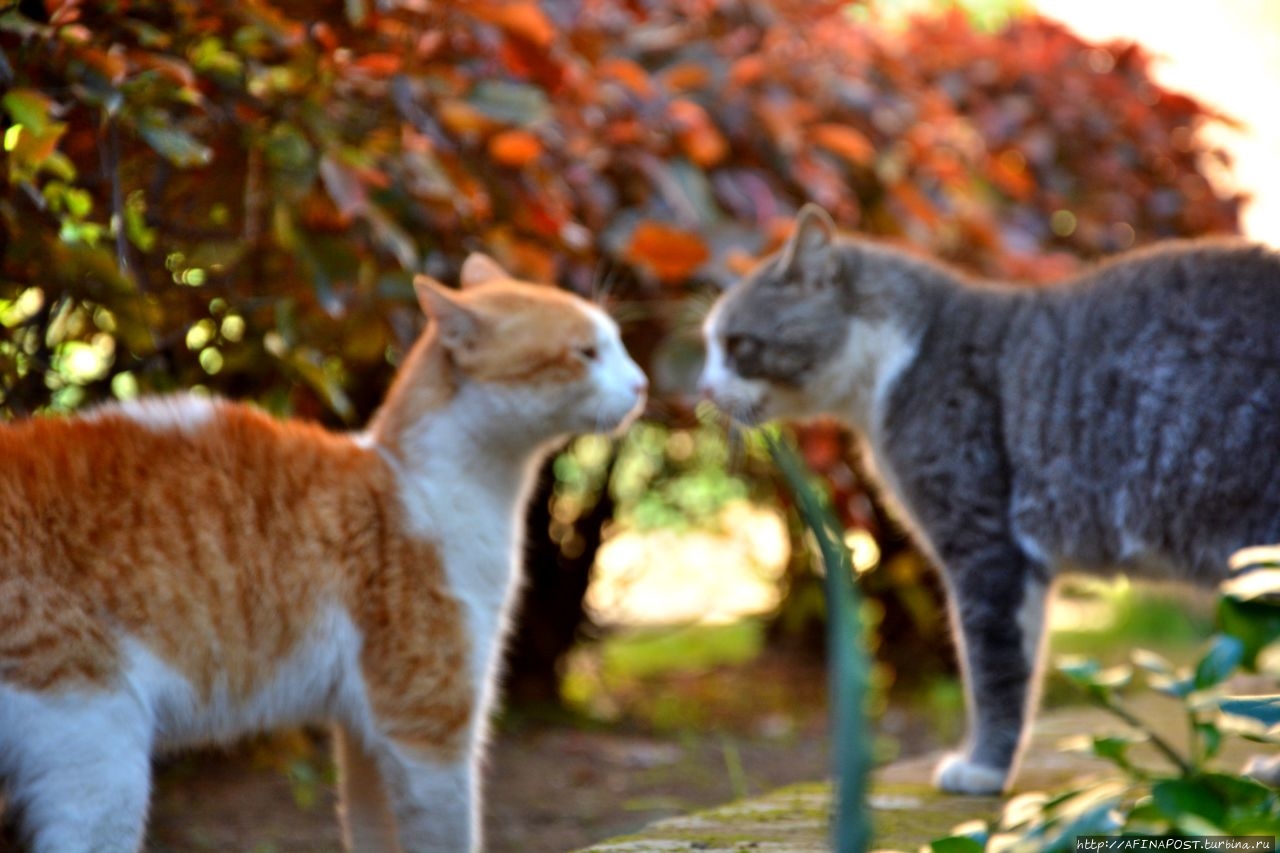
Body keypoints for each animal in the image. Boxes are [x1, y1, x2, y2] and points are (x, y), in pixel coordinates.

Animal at [0, 253, 645, 850]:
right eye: (587, 353)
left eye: (617, 345)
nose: (640, 383)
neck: (420, 482)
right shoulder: (427, 729)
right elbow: (447, 835)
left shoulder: (366, 736)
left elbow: (372, 833)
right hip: (96, 745)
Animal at [701, 202, 1280, 794]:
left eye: (737, 344)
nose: (703, 390)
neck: (900, 360)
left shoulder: (982, 544)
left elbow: (993, 667)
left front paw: (983, 768)